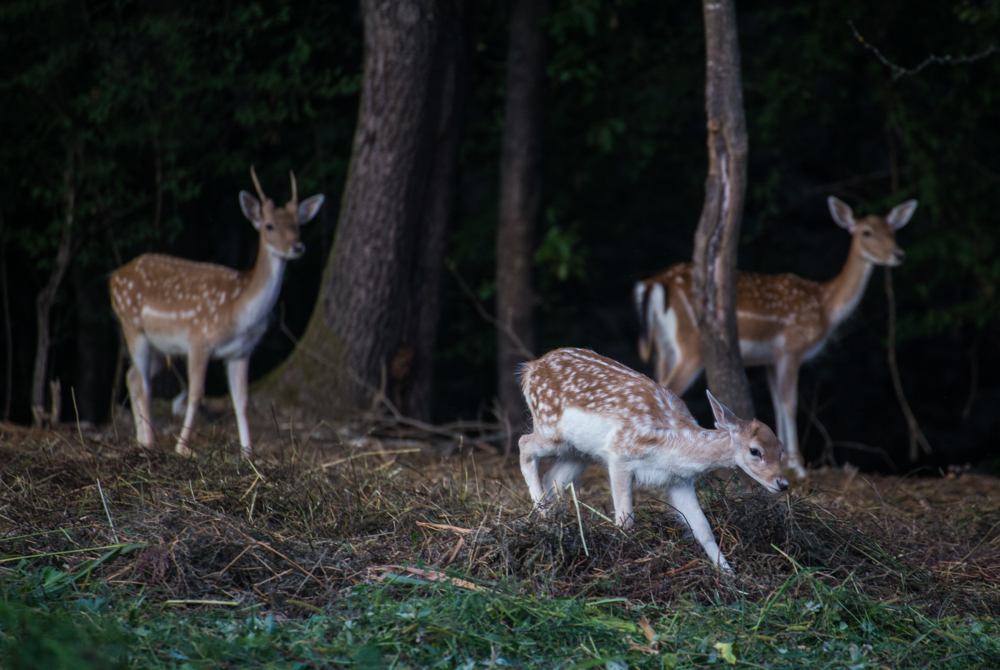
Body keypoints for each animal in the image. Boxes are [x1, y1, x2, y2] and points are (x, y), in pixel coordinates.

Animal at [110, 167, 324, 457]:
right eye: (269, 225)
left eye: (298, 225)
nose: (297, 246)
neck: (238, 312)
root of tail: (113, 277)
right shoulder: (199, 340)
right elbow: (196, 394)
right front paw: (182, 447)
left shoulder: (241, 352)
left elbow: (242, 400)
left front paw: (248, 451)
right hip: (133, 326)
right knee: (140, 382)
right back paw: (150, 442)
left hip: (160, 346)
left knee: (133, 376)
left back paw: (143, 440)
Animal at [518, 347, 787, 572]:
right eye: (755, 451)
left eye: (781, 449)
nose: (782, 483)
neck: (672, 445)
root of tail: (529, 368)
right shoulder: (619, 453)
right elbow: (625, 520)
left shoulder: (678, 481)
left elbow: (703, 528)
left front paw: (729, 576)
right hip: (549, 429)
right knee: (524, 444)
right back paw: (542, 515)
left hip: (579, 452)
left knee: (552, 477)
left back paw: (551, 522)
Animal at [634, 196, 917, 479]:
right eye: (866, 232)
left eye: (893, 231)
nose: (899, 254)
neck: (824, 306)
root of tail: (654, 284)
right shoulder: (791, 347)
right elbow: (790, 402)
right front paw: (799, 467)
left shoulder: (770, 358)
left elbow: (778, 402)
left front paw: (787, 459)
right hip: (690, 346)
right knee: (670, 386)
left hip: (664, 348)